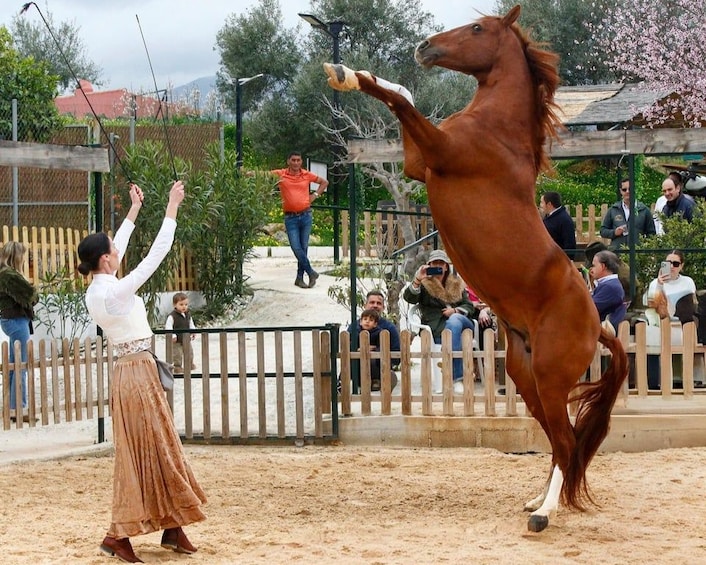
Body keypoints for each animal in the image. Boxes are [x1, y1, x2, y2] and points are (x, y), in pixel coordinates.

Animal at [324, 5, 628, 533]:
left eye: (478, 28)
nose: (425, 47)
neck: (497, 132)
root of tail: (597, 323)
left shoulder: (439, 152)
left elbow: (400, 104)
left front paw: (345, 74)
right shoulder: (418, 163)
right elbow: (402, 98)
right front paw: (350, 72)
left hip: (551, 378)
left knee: (567, 440)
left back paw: (545, 513)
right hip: (527, 377)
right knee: (558, 440)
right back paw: (536, 499)